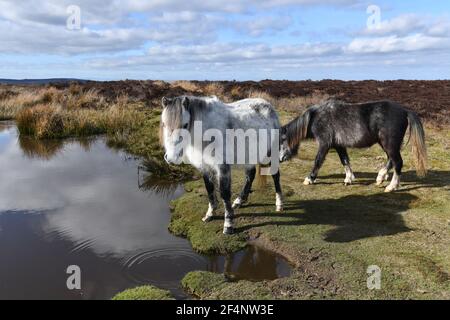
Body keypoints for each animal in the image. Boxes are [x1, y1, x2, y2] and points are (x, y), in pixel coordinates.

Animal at [160, 96, 284, 234]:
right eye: (164, 124)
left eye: (185, 125)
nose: (171, 158)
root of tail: (268, 105)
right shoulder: (205, 167)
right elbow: (209, 189)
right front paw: (210, 214)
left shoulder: (222, 168)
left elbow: (224, 193)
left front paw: (228, 224)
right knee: (250, 176)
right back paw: (240, 200)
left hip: (270, 153)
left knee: (275, 176)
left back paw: (279, 204)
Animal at [280, 99, 428, 191]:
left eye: (281, 140)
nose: (280, 159)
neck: (316, 117)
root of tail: (405, 111)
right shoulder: (338, 145)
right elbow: (344, 160)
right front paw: (348, 179)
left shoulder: (324, 143)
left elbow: (318, 161)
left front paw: (309, 179)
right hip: (386, 144)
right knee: (391, 160)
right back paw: (381, 177)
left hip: (389, 144)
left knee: (397, 162)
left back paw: (391, 186)